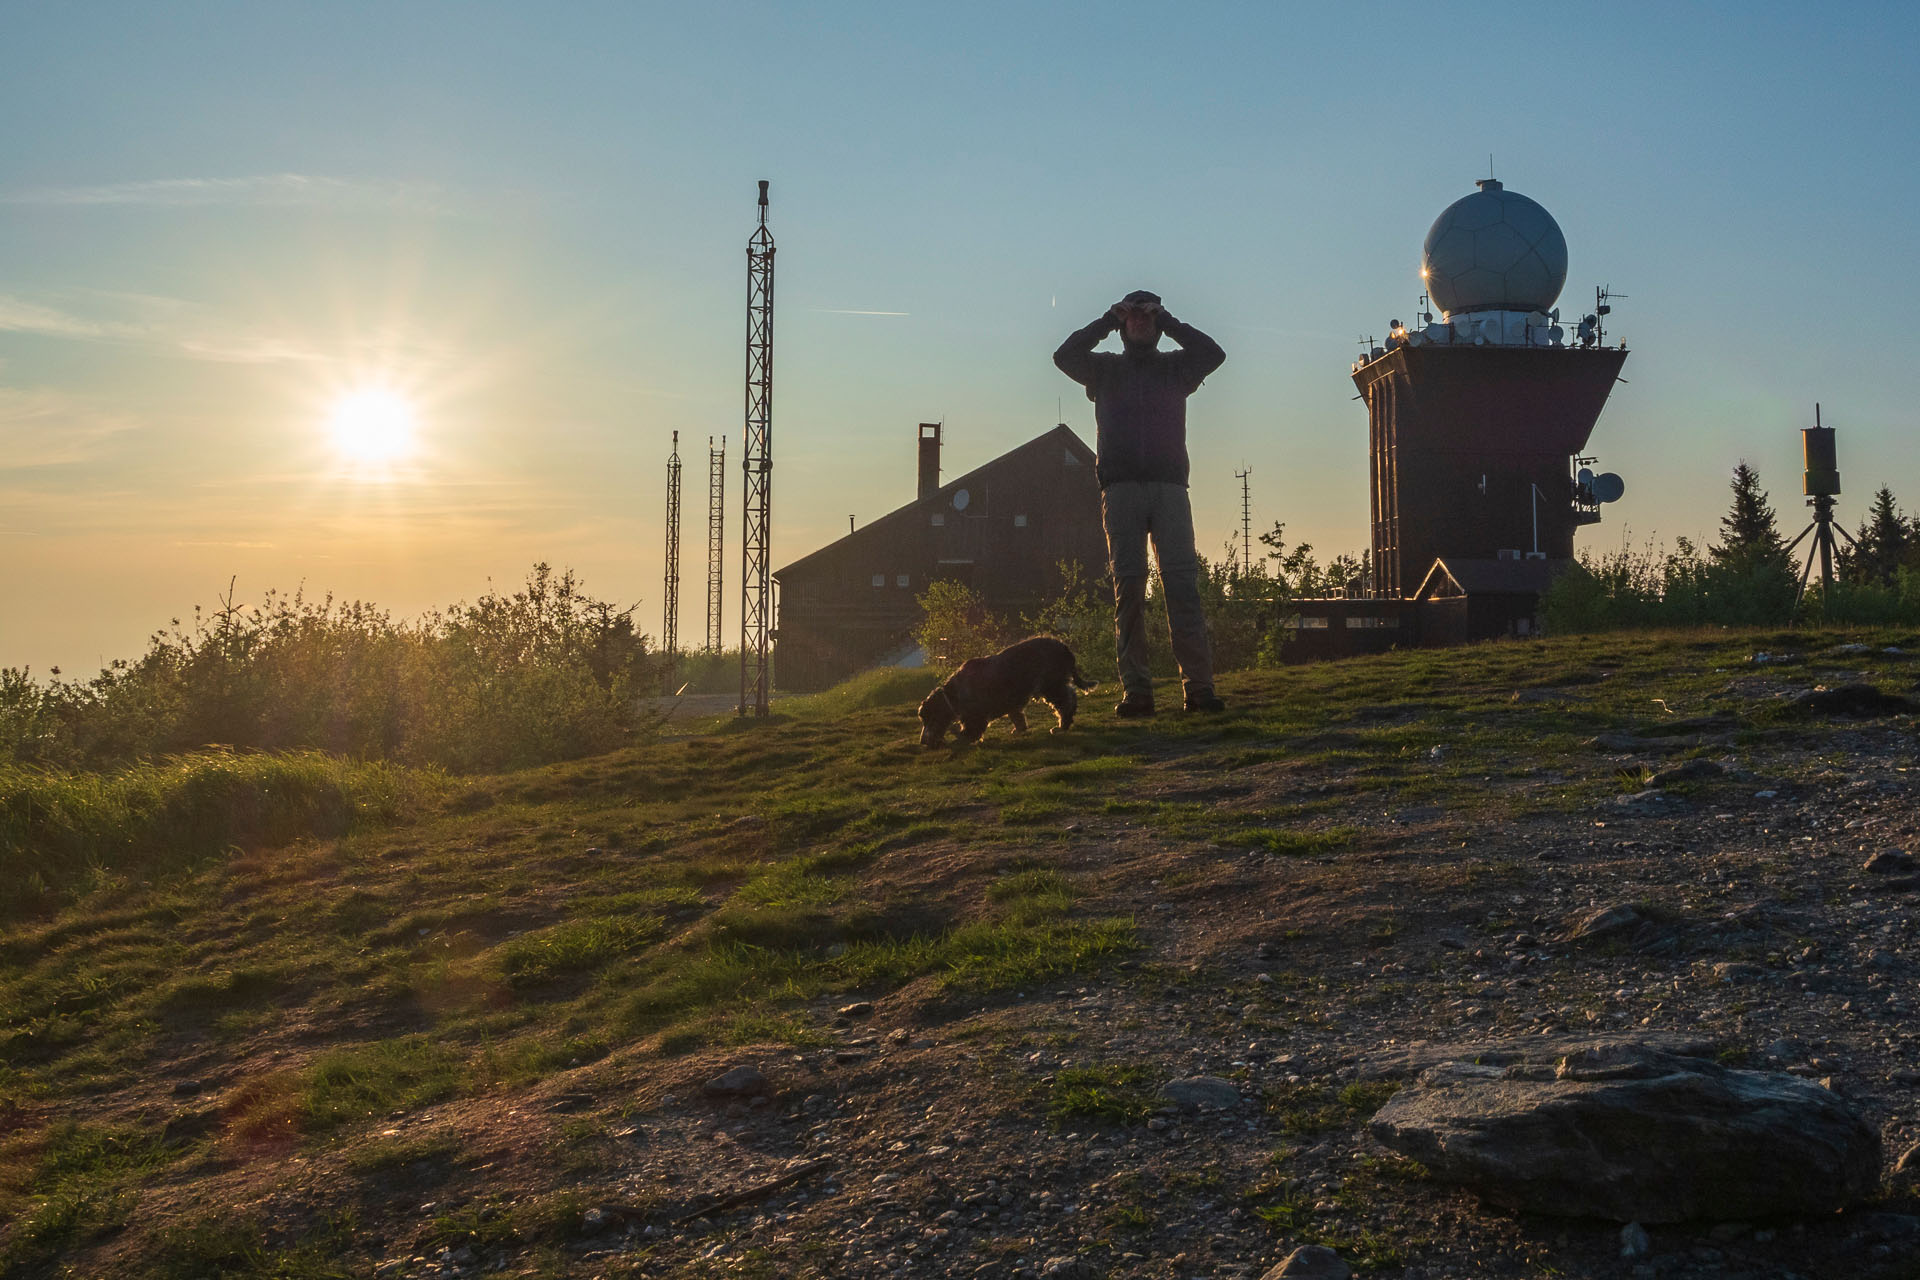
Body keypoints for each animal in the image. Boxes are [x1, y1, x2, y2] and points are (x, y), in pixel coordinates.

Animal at [913, 637, 1098, 744]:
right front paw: (1019, 730)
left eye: (928, 719)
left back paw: (1062, 725)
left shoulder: (975, 716)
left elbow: (970, 731)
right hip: (1055, 683)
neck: (952, 695)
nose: (923, 742)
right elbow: (1018, 718)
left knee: (1066, 702)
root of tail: (1064, 647)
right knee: (1070, 695)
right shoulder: (1012, 704)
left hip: (1051, 685)